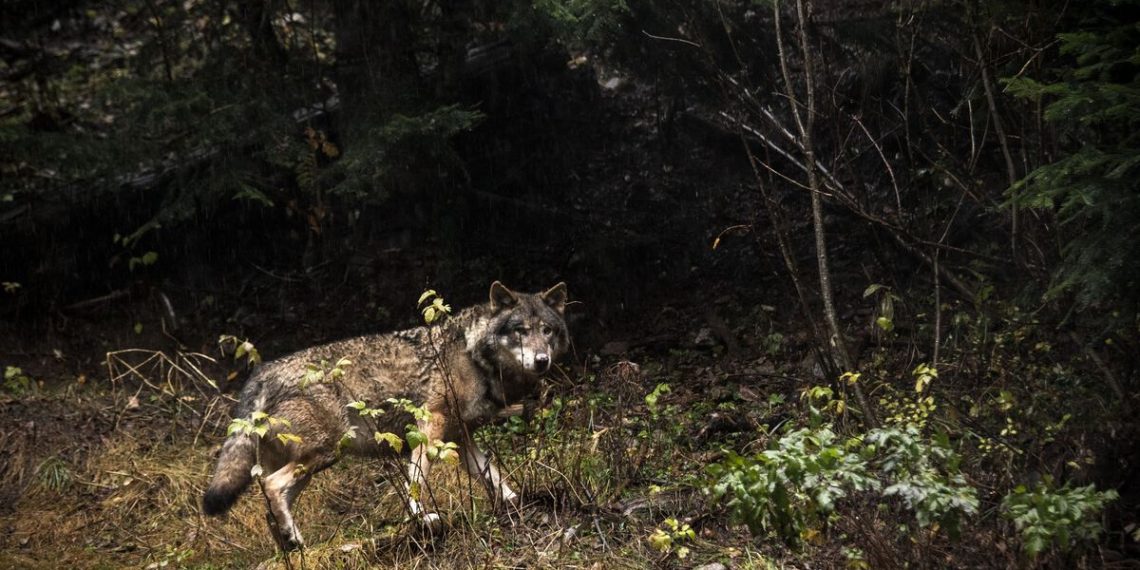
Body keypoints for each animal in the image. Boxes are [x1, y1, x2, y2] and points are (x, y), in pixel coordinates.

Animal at [202, 281, 569, 549]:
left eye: (547, 331)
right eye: (521, 330)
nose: (541, 361)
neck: (473, 355)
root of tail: (263, 372)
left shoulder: (460, 439)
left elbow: (494, 477)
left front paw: (520, 506)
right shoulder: (429, 426)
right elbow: (416, 480)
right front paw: (423, 519)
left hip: (308, 464)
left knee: (270, 502)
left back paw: (293, 549)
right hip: (325, 453)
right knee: (272, 486)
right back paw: (296, 542)